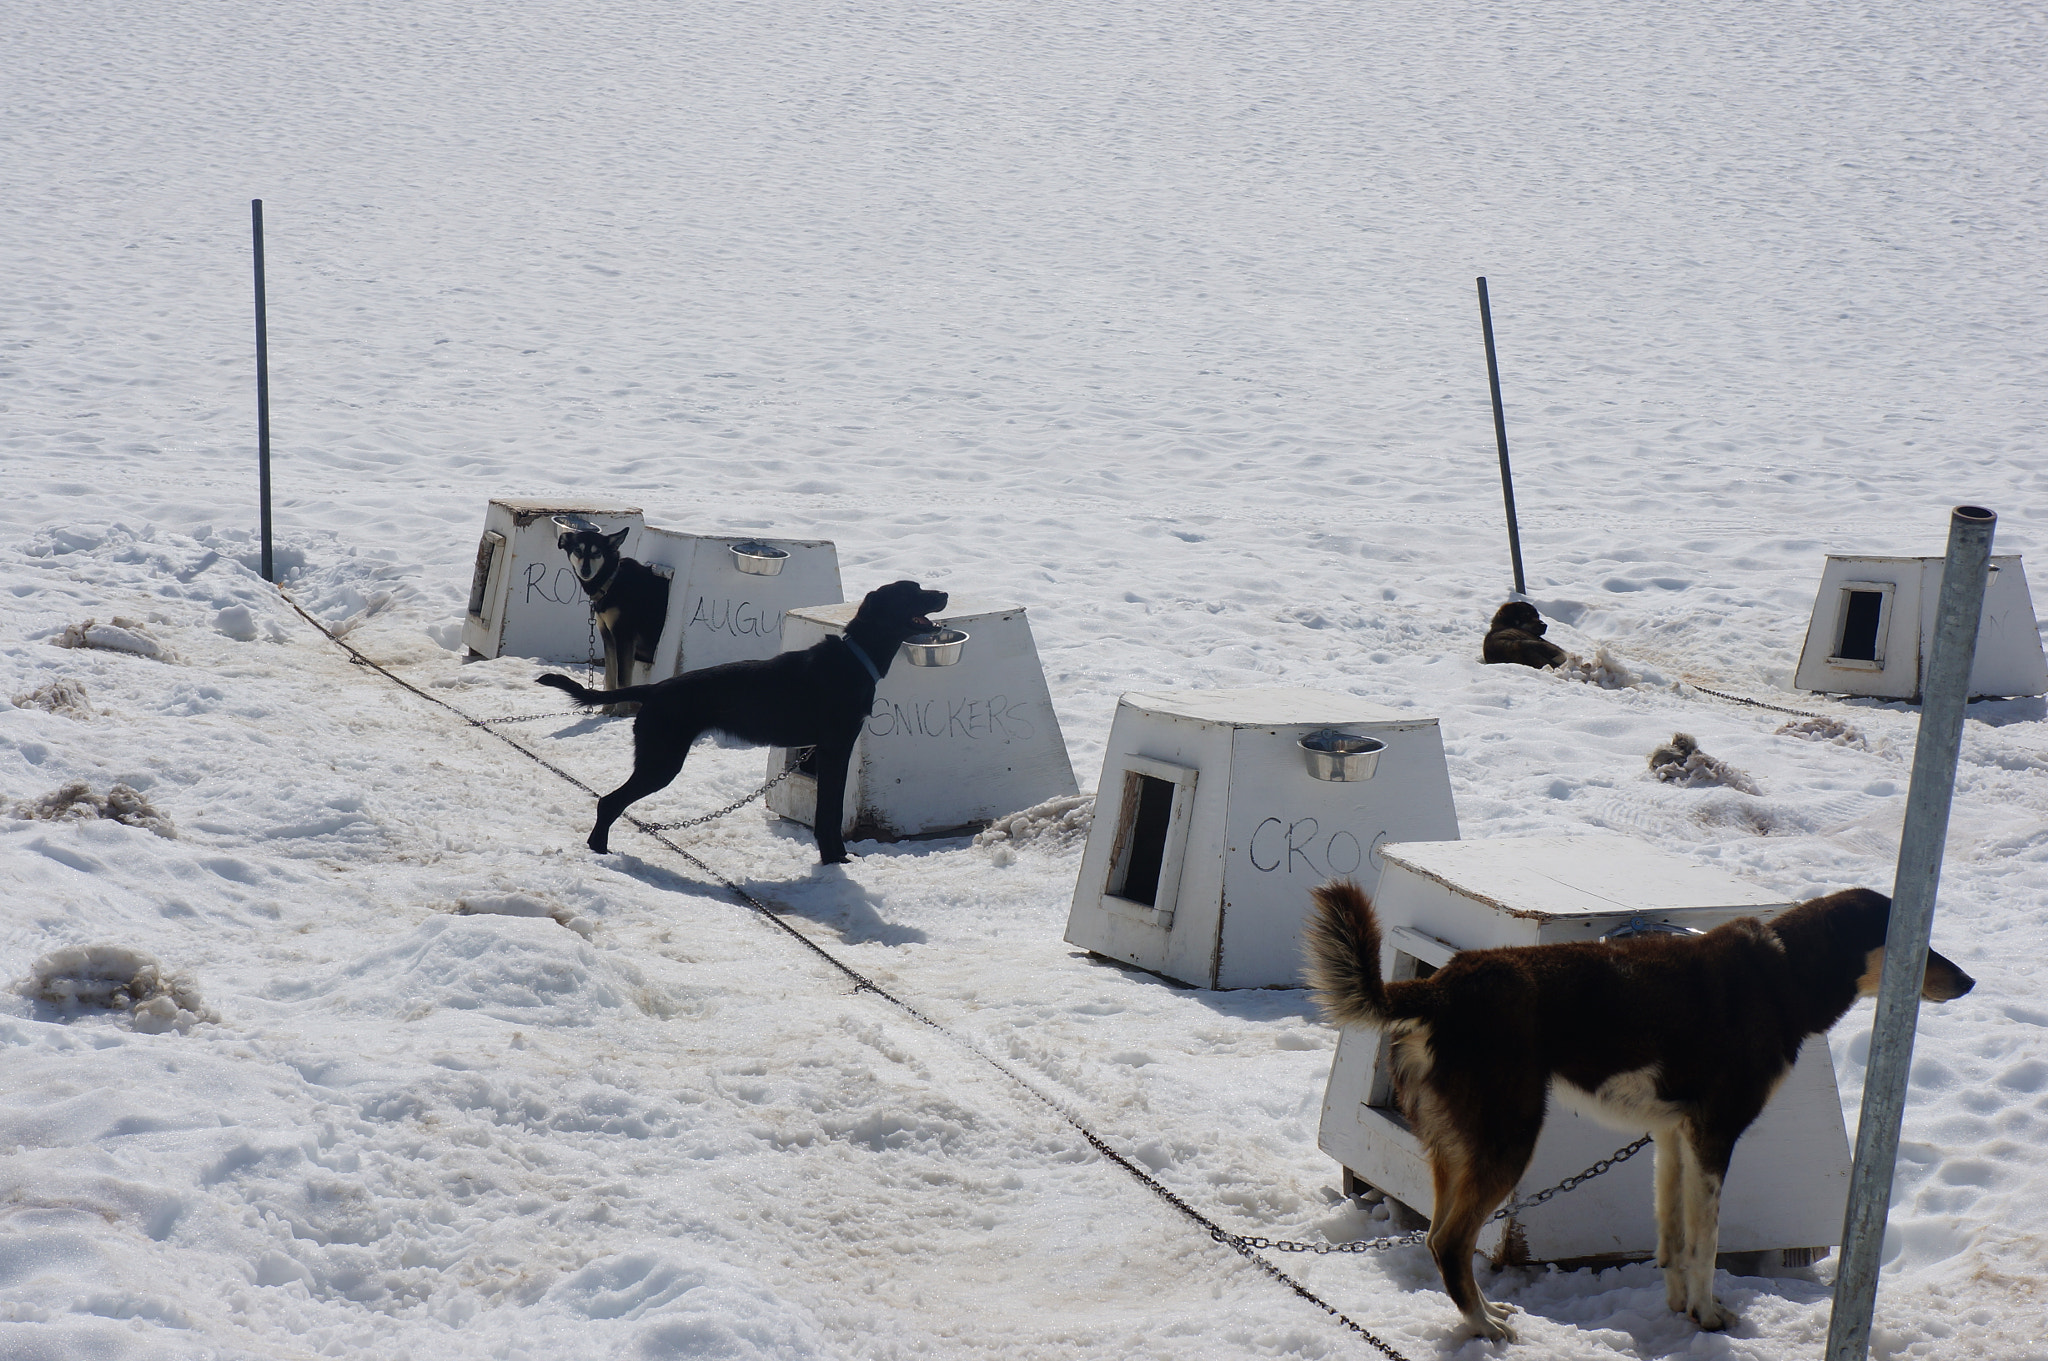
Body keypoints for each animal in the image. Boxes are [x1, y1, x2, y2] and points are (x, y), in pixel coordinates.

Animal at [528, 577, 942, 859]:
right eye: (913, 591)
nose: (944, 594)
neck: (856, 658)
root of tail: (655, 689)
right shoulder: (836, 748)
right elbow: (829, 812)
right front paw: (835, 860)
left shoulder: (823, 749)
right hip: (661, 762)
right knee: (609, 802)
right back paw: (599, 849)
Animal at [552, 519, 671, 691]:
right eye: (577, 550)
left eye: (597, 552)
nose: (585, 571)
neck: (611, 582)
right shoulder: (608, 636)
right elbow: (610, 678)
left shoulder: (624, 637)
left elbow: (622, 681)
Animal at [1302, 880, 1974, 1334]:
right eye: (1917, 942)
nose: (1969, 983)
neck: (1785, 972)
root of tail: (1442, 985)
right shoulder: (1714, 1135)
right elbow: (1706, 1242)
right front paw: (1709, 1315)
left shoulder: (1672, 1137)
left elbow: (1674, 1239)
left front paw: (1681, 1309)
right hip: (1508, 1142)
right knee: (1447, 1242)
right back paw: (1486, 1328)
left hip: (1457, 1150)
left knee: (1446, 1241)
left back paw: (1489, 1313)